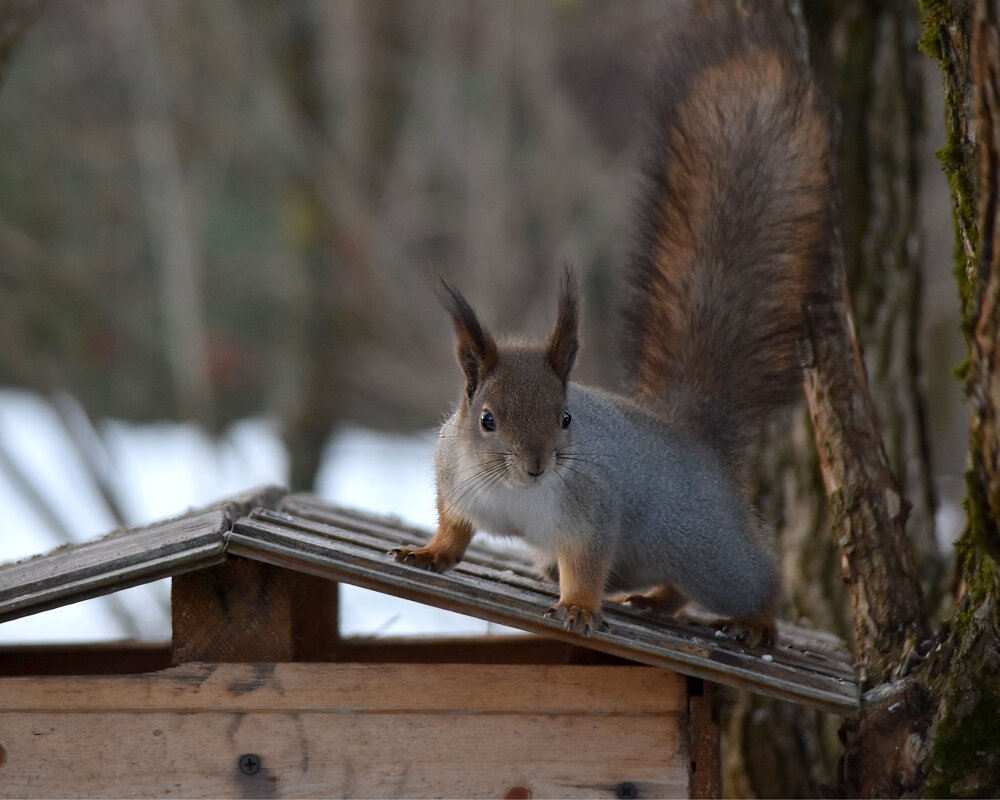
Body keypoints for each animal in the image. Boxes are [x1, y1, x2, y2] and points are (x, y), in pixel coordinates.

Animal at [390, 3, 836, 648]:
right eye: (487, 420)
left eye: (566, 416)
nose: (537, 464)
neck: (516, 493)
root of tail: (695, 438)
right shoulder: (457, 482)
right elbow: (454, 530)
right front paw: (428, 553)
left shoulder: (590, 511)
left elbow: (586, 562)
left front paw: (578, 607)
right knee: (669, 588)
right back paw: (653, 601)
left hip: (709, 550)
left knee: (755, 580)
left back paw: (755, 620)